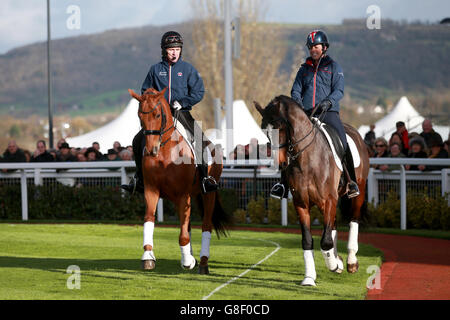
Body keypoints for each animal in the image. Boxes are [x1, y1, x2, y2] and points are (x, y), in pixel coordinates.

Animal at [127, 88, 230, 276]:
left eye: (157, 114)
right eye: (139, 115)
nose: (151, 150)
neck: (165, 150)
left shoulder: (183, 194)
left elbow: (184, 233)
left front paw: (188, 261)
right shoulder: (152, 190)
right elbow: (149, 219)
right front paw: (148, 256)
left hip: (208, 194)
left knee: (205, 225)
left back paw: (202, 262)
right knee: (187, 225)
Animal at [255, 95, 370, 288]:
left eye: (281, 127)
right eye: (265, 130)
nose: (280, 163)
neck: (308, 158)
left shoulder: (328, 200)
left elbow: (325, 241)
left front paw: (333, 264)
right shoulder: (301, 204)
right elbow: (308, 240)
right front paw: (310, 276)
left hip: (357, 193)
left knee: (353, 220)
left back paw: (351, 262)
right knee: (332, 226)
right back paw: (338, 261)